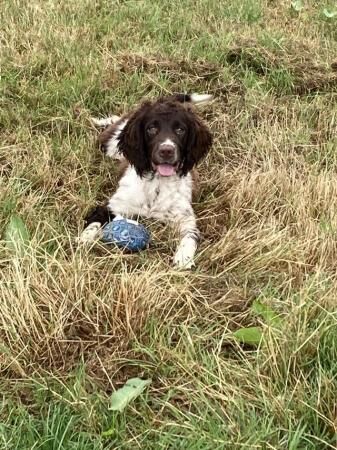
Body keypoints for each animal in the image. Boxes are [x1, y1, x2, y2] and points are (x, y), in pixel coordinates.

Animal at [77, 91, 211, 268]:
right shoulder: (114, 205)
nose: (166, 151)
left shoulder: (185, 218)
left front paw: (183, 258)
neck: (157, 183)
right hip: (109, 144)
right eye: (151, 129)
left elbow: (190, 236)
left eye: (180, 130)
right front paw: (84, 238)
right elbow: (95, 221)